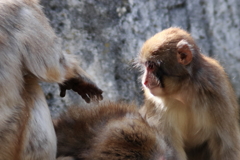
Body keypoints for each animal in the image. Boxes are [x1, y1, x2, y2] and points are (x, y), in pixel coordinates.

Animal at [137, 26, 240, 159]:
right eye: (146, 66)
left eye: (151, 66)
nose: (144, 81)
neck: (183, 91)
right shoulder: (155, 104)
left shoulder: (217, 90)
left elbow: (226, 146)